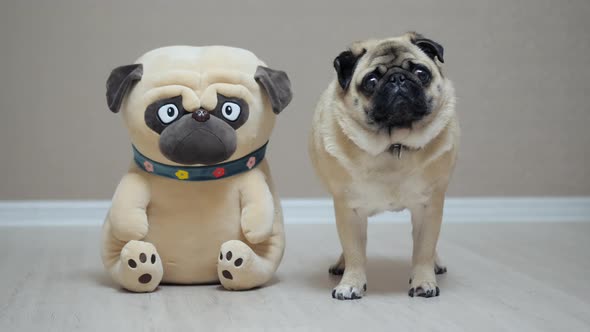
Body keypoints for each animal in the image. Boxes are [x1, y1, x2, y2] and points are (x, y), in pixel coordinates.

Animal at [312, 32, 460, 300]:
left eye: (421, 73)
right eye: (371, 81)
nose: (397, 78)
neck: (393, 145)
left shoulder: (430, 207)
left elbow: (424, 249)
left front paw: (424, 281)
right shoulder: (348, 210)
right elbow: (354, 252)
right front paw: (351, 283)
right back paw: (341, 265)